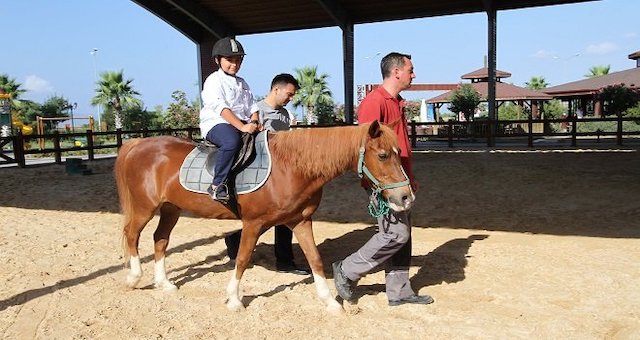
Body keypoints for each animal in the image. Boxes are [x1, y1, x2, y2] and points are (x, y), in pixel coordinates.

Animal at [115, 121, 416, 312]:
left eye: (398, 153)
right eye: (383, 155)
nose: (406, 197)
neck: (290, 167)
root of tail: (138, 144)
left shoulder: (300, 221)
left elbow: (315, 260)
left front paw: (330, 302)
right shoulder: (254, 223)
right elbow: (243, 258)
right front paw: (234, 300)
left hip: (170, 209)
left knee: (160, 239)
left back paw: (164, 283)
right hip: (144, 208)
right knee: (132, 234)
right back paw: (133, 278)